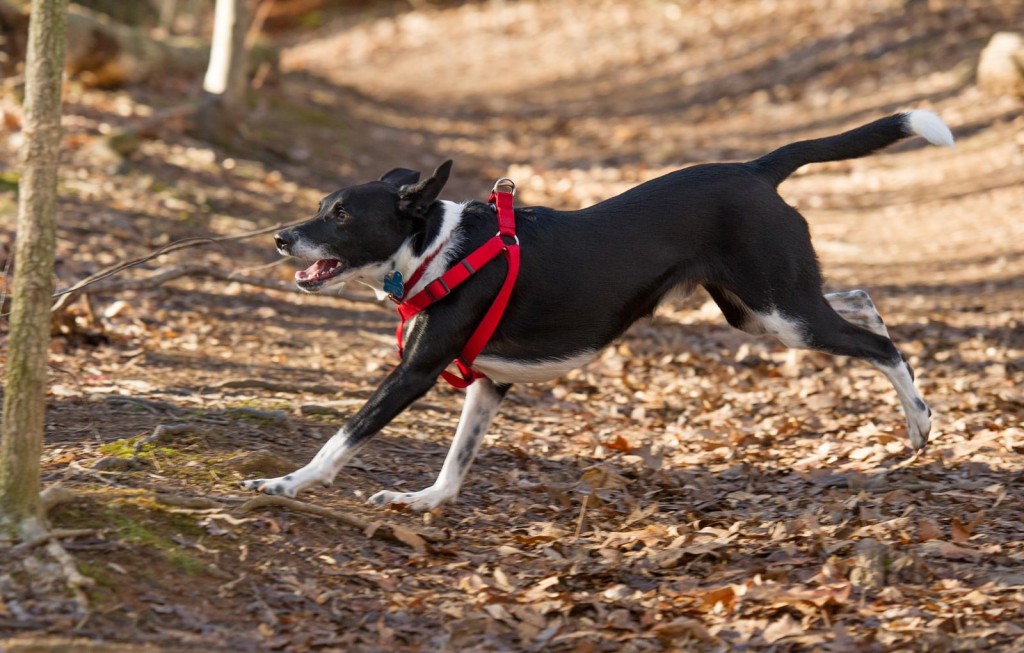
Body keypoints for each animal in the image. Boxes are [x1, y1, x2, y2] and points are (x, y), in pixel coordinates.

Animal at [243, 112, 954, 511]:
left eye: (342, 216)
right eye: (322, 205)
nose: (279, 238)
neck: (437, 249)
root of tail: (756, 169)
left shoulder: (414, 374)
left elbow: (343, 438)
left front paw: (285, 485)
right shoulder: (488, 383)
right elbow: (456, 461)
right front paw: (424, 502)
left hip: (783, 316)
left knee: (882, 348)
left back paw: (920, 423)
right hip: (759, 311)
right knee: (863, 304)